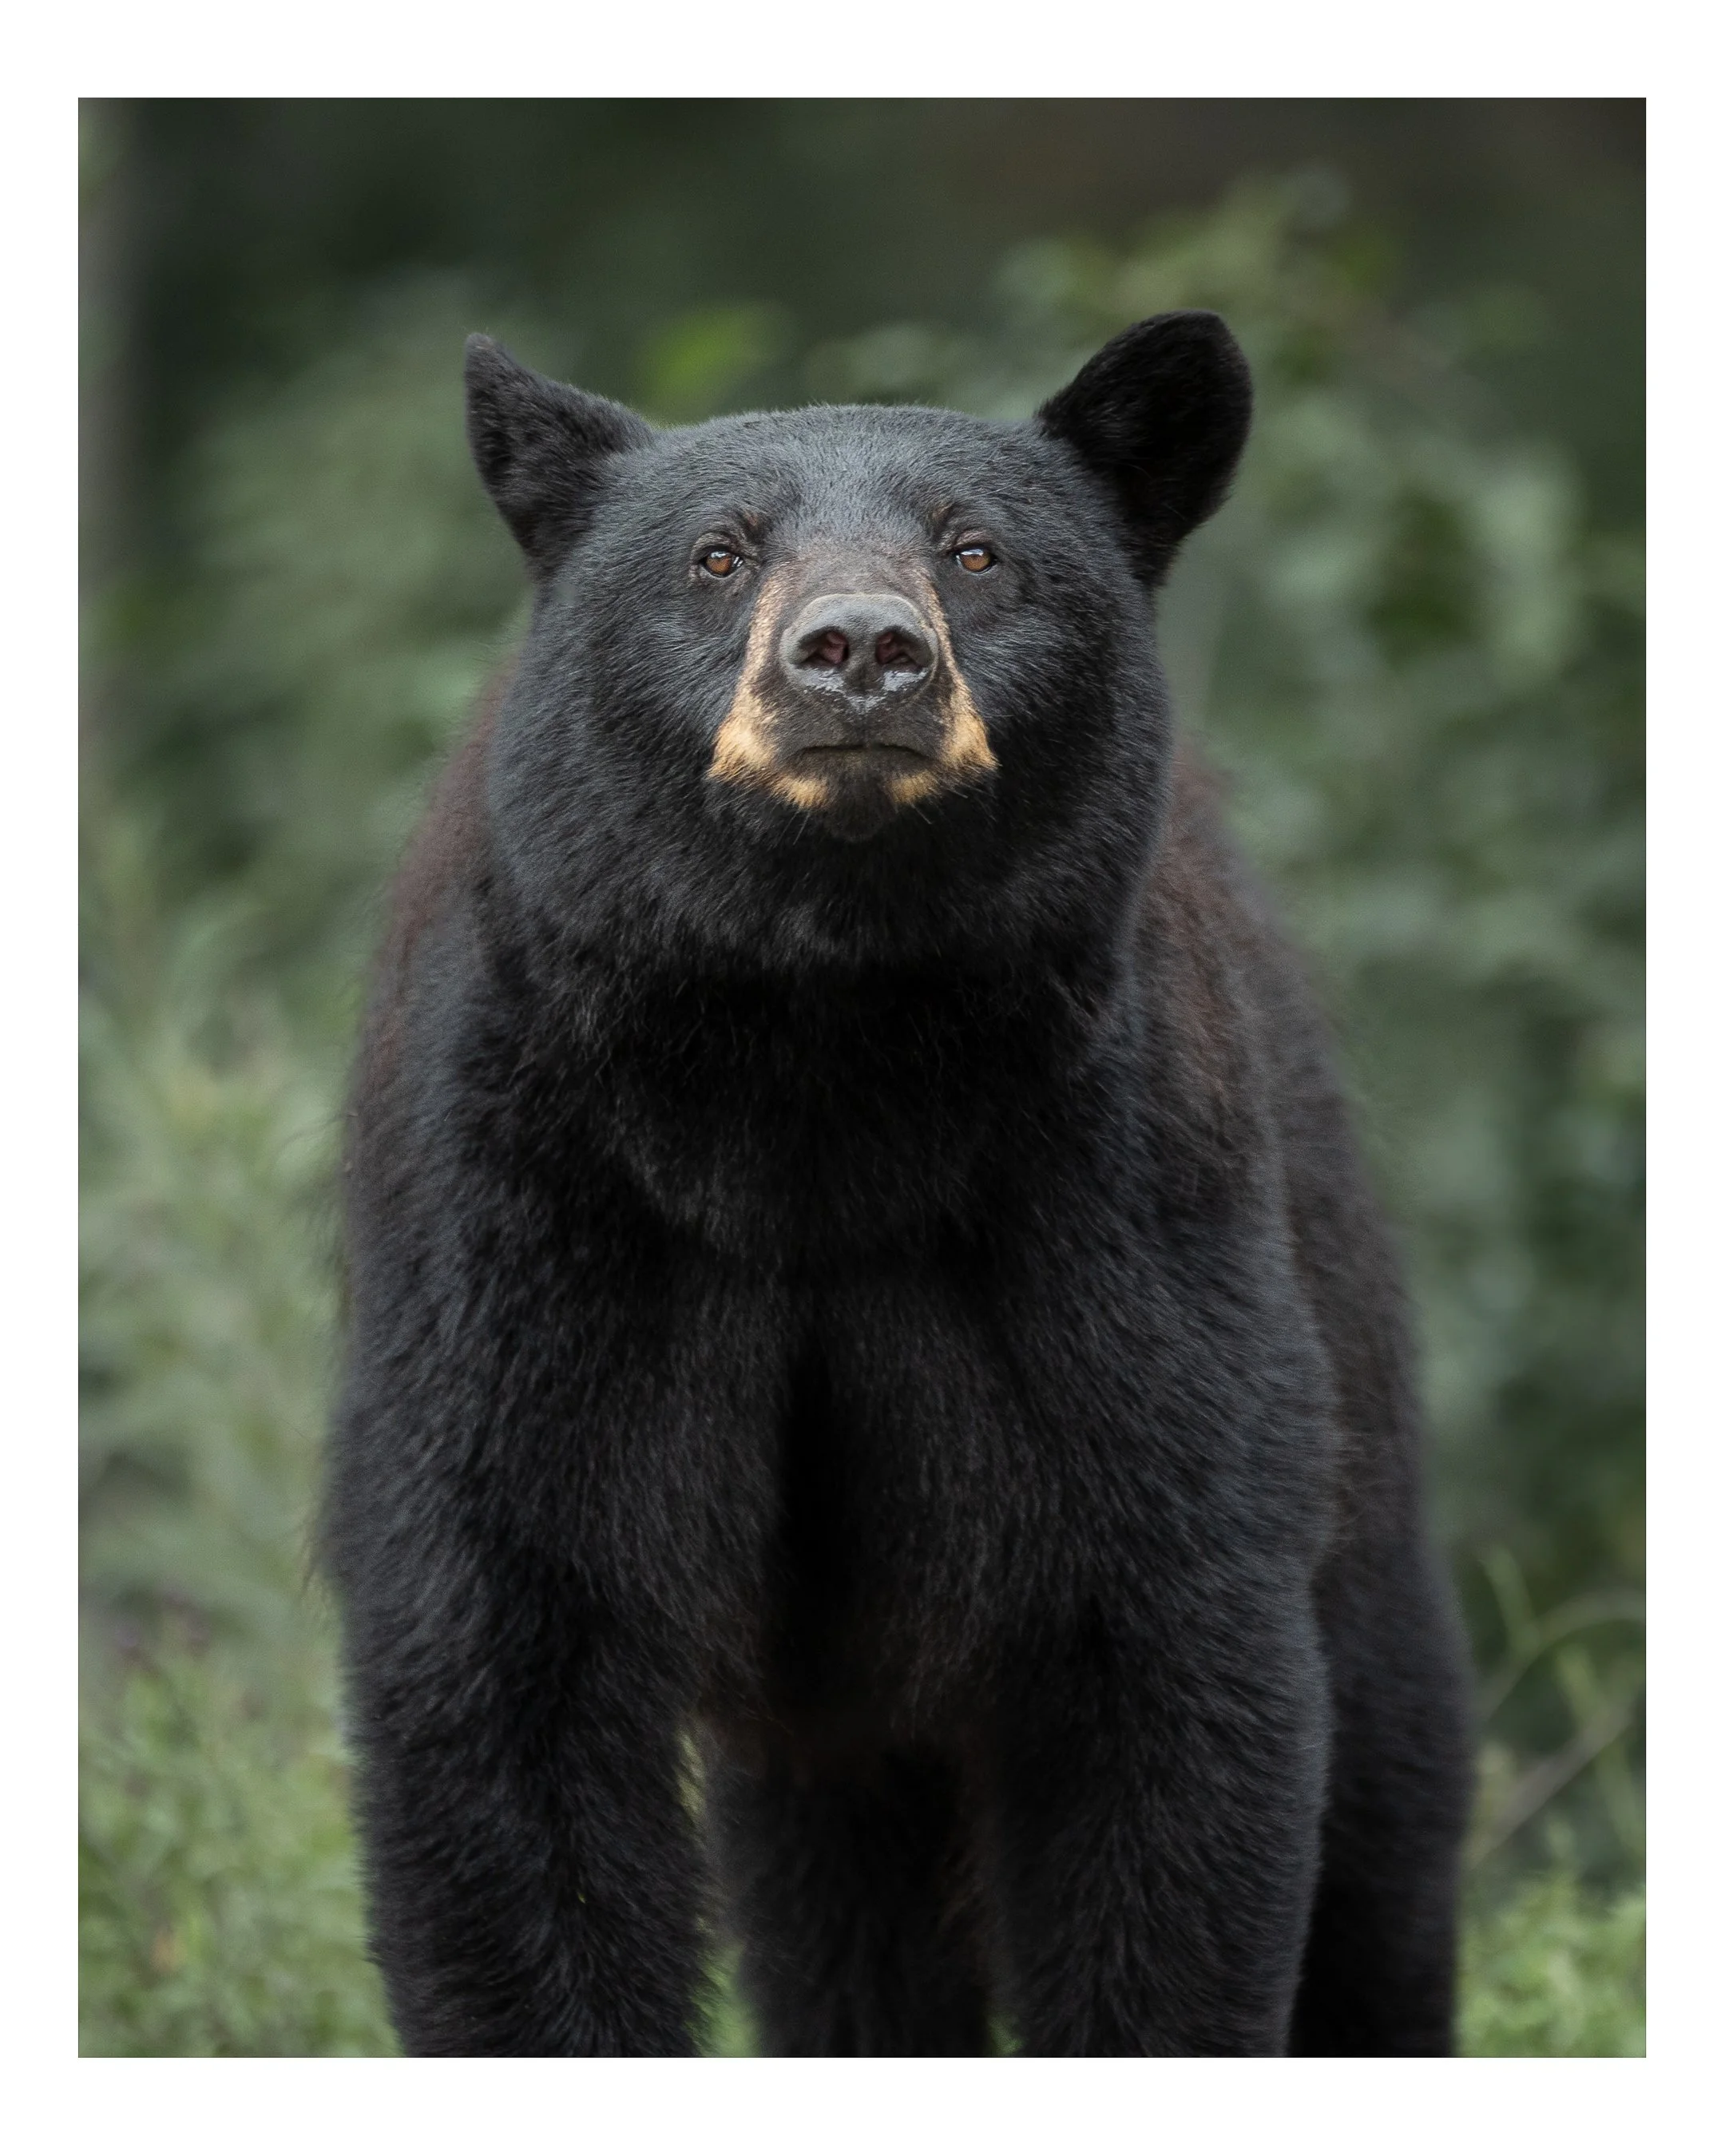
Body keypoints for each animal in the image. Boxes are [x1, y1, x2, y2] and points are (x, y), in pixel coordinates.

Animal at [322, 310, 1474, 2057]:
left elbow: (1177, 1686)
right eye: (719, 555)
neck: (822, 1068)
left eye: (978, 551)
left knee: (1386, 1820)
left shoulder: (1119, 1209)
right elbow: (502, 1656)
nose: (858, 651)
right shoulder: (524, 1202)